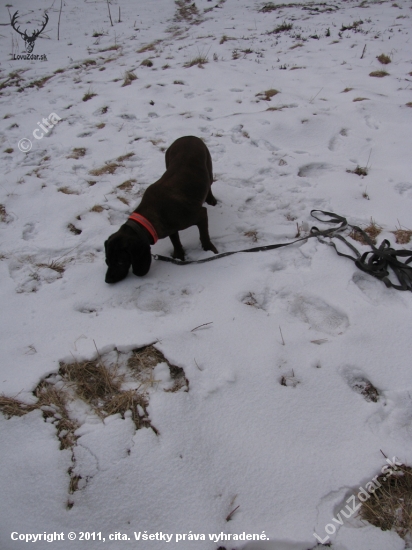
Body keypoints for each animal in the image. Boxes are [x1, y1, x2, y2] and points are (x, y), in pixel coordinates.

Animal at [104, 137, 217, 284]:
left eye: (120, 262)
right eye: (107, 261)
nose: (107, 280)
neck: (148, 216)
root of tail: (188, 136)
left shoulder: (200, 215)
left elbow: (204, 236)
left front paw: (210, 249)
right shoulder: (170, 227)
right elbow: (175, 241)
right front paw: (178, 255)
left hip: (208, 168)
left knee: (209, 184)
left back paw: (211, 199)